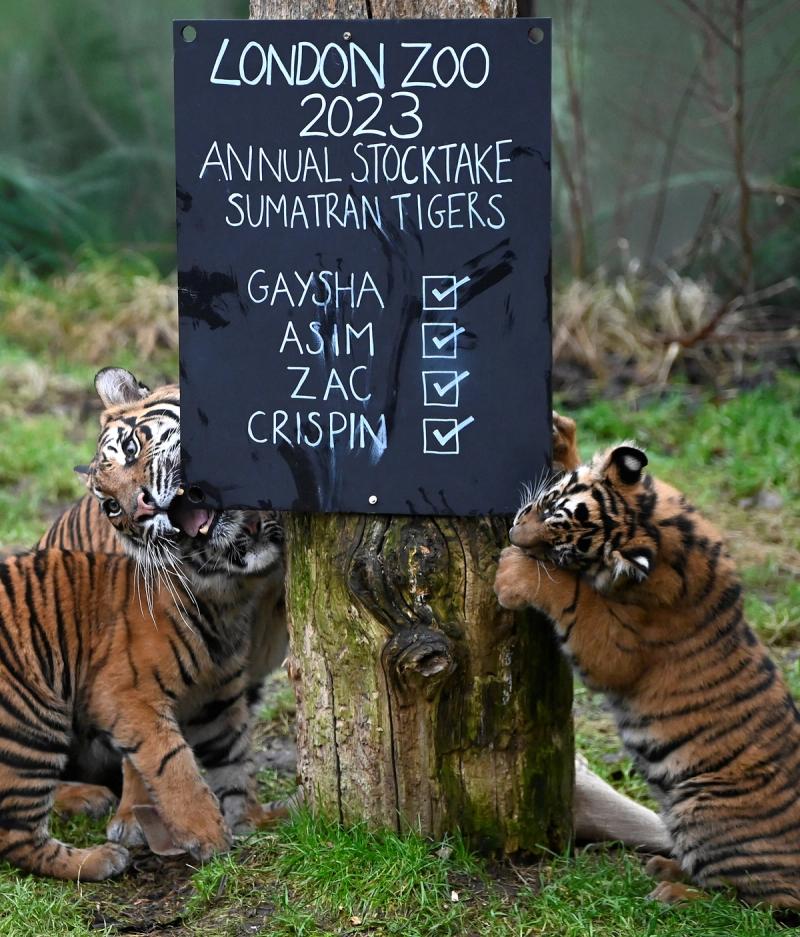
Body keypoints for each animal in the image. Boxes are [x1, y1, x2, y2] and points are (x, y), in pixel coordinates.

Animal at [494, 417, 800, 909]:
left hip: (702, 810)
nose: (511, 537)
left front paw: (515, 574)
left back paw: (673, 889)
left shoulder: (620, 647)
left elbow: (573, 598)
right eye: (546, 504)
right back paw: (666, 867)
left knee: (755, 904)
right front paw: (564, 438)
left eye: (563, 553)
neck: (656, 523)